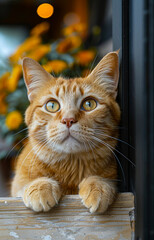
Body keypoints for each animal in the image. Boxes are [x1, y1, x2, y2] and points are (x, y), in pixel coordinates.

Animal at [11, 51, 120, 213]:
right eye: (52, 105)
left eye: (89, 104)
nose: (68, 120)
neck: (70, 167)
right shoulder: (16, 187)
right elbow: (22, 187)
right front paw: (40, 186)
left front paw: (98, 185)